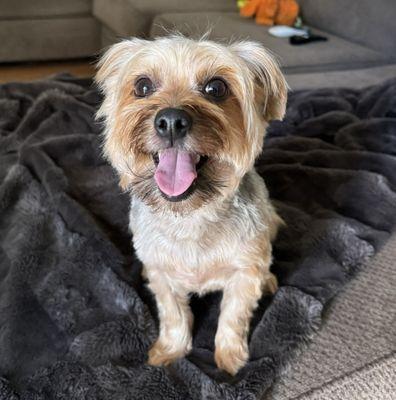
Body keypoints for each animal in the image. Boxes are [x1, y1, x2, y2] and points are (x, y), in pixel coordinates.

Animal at [96, 34, 288, 376]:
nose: (171, 121)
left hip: (269, 223)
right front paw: (170, 351)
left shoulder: (244, 271)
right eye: (142, 86)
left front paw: (230, 358)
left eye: (216, 88)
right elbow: (173, 315)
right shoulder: (161, 272)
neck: (189, 216)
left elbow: (233, 316)